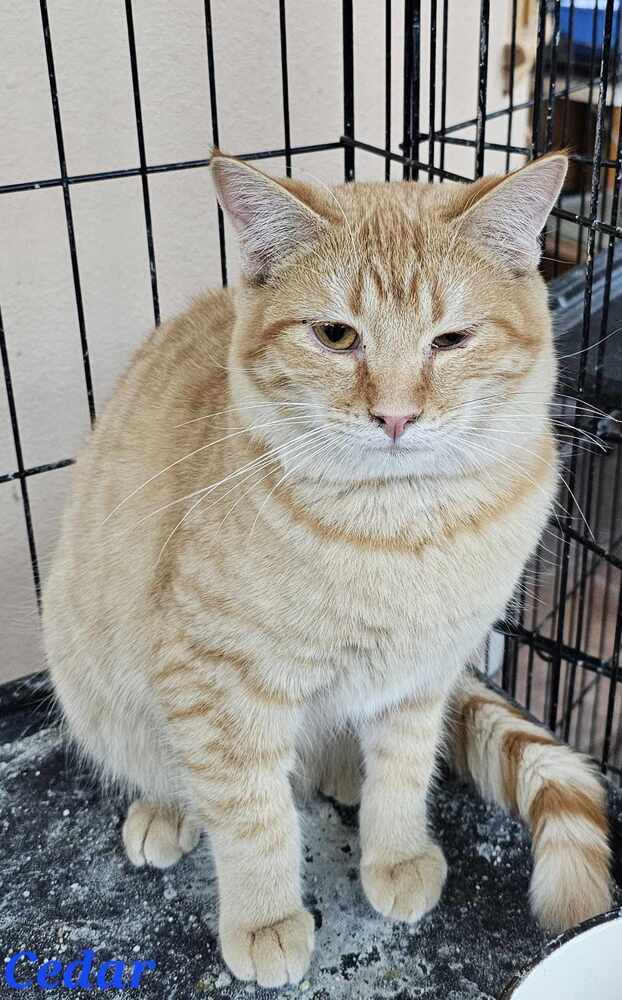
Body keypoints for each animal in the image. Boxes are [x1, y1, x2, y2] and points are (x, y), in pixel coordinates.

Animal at [45, 152, 616, 988]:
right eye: (336, 335)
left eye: (451, 340)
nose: (397, 416)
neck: (400, 529)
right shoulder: (214, 684)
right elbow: (253, 816)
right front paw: (263, 918)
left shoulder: (424, 672)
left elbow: (405, 773)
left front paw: (396, 853)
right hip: (94, 682)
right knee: (165, 769)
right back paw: (168, 811)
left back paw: (344, 770)